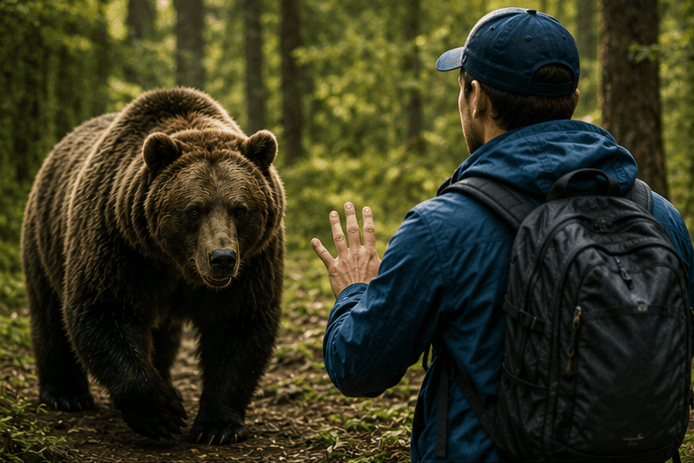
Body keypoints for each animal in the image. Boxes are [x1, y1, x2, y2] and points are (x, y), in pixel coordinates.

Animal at [21, 87, 284, 444]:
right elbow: (104, 309)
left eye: (240, 208)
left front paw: (218, 425)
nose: (222, 258)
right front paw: (161, 413)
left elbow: (238, 323)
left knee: (164, 333)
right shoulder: (119, 243)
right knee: (49, 314)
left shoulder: (254, 261)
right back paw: (66, 394)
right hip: (45, 237)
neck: (176, 263)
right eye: (194, 209)